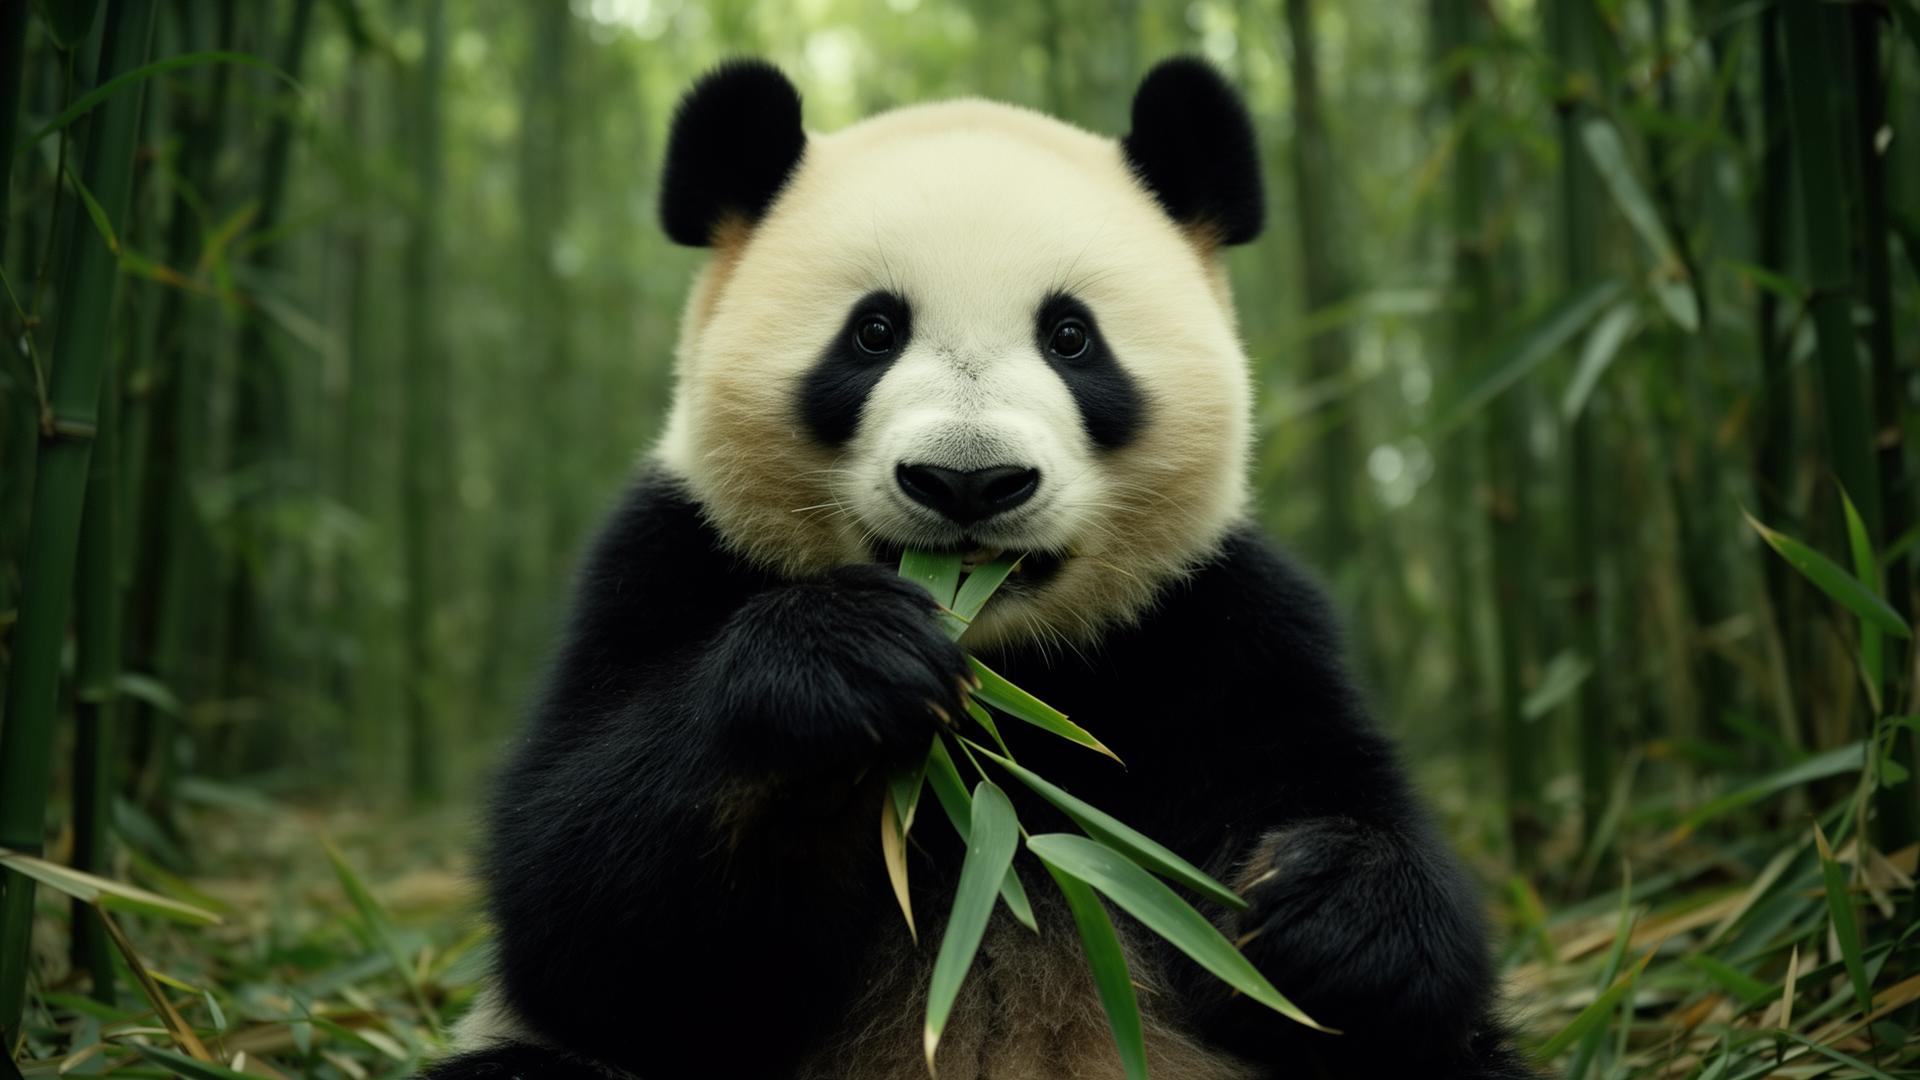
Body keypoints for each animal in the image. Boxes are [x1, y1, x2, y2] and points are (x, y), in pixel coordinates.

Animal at [427, 58, 1544, 1080]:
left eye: (1072, 336)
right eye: (874, 331)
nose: (968, 480)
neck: (1006, 664)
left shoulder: (1215, 618)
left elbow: (1370, 904)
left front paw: (1324, 907)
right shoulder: (667, 561)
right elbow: (597, 921)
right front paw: (846, 659)